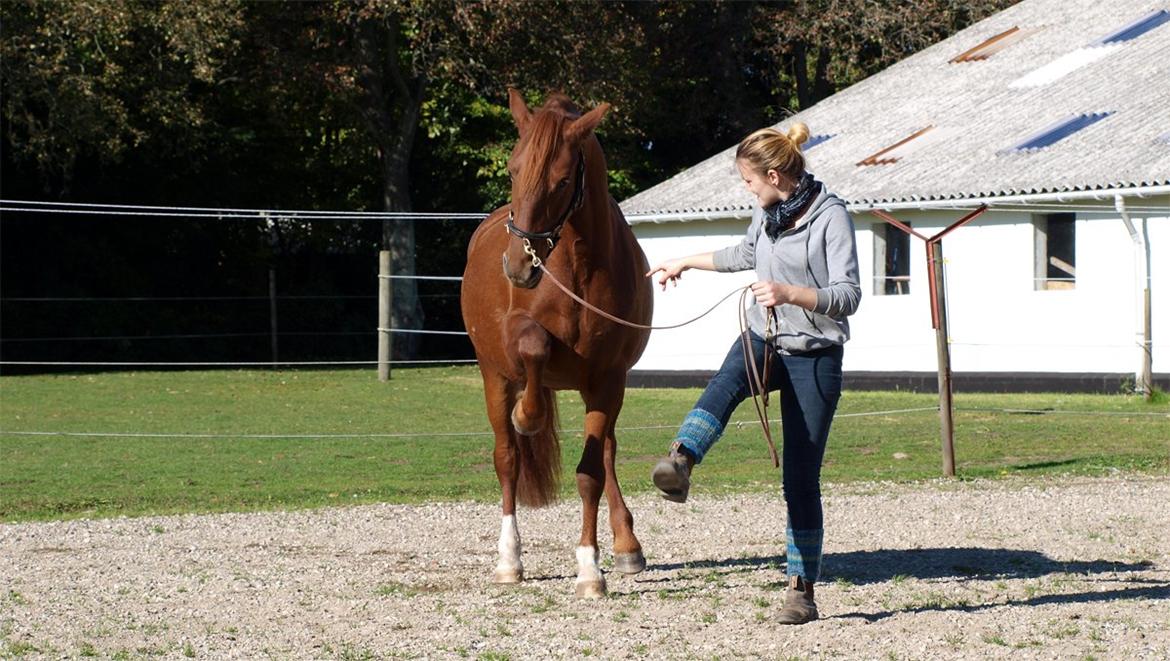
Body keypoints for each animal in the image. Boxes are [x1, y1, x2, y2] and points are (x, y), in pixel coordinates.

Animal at [458, 90, 659, 598]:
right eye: (513, 169)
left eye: (563, 179)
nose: (518, 266)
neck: (577, 267)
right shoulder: (518, 341)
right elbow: (533, 347)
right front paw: (527, 415)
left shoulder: (607, 380)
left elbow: (591, 472)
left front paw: (590, 568)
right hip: (492, 376)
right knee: (507, 459)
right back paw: (509, 559)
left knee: (606, 451)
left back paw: (626, 546)